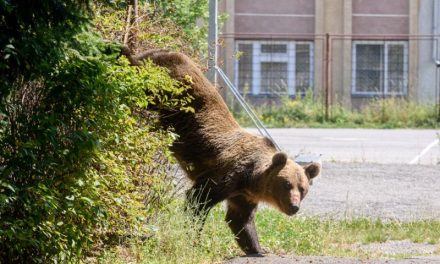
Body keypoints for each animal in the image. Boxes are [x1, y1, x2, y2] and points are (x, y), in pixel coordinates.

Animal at [127, 48, 320, 255]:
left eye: (303, 189)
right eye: (286, 184)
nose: (294, 206)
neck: (251, 177)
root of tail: (165, 50)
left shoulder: (243, 195)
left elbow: (240, 219)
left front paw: (258, 248)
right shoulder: (227, 176)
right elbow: (198, 200)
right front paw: (194, 239)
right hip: (168, 85)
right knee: (144, 82)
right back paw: (121, 51)